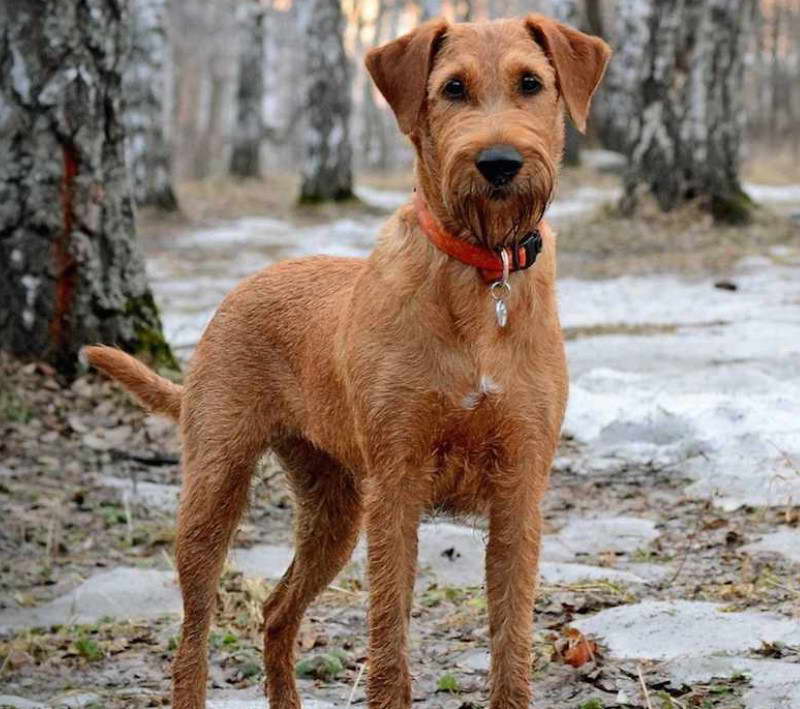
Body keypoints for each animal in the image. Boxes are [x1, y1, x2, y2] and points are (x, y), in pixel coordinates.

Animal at [87, 13, 608, 704]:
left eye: (531, 83)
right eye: (453, 88)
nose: (499, 162)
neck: (478, 278)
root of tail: (243, 288)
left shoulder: (520, 490)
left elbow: (511, 646)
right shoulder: (397, 487)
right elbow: (388, 643)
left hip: (333, 510)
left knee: (277, 611)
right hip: (214, 491)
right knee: (192, 637)